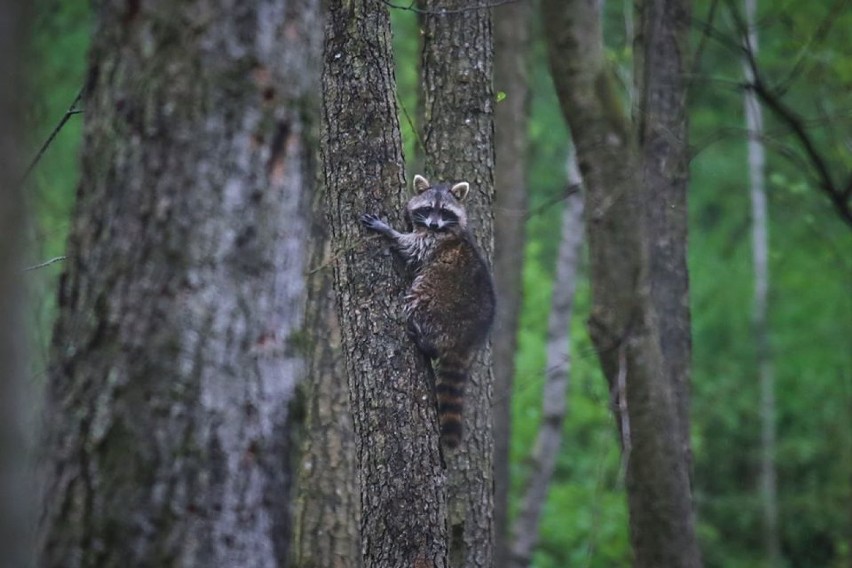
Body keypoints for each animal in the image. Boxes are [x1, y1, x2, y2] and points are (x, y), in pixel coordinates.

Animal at [362, 173, 496, 448]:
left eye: (444, 211)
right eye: (427, 209)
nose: (433, 224)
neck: (441, 230)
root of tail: (469, 336)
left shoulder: (434, 243)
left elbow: (412, 246)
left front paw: (389, 231)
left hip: (437, 302)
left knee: (419, 303)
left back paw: (424, 340)